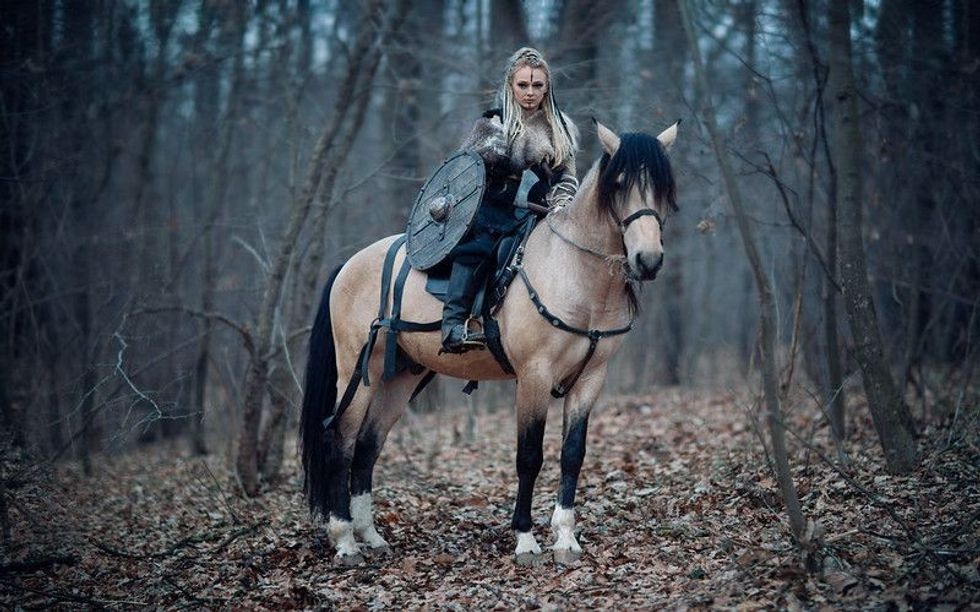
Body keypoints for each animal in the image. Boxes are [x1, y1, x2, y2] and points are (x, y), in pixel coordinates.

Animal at [302, 119, 676, 564]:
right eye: (618, 184)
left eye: (663, 188)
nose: (648, 261)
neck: (575, 274)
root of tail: (350, 264)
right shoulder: (533, 377)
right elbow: (529, 457)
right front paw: (526, 538)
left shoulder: (590, 380)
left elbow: (572, 455)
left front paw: (565, 538)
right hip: (359, 374)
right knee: (340, 442)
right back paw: (344, 540)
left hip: (400, 378)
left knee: (366, 446)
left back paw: (370, 536)